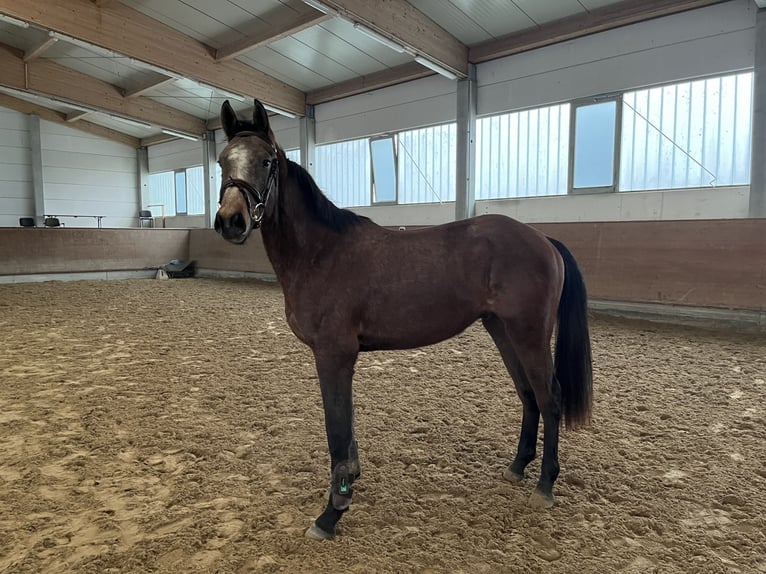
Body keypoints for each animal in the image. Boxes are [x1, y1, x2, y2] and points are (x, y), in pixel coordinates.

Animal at [214, 99, 593, 540]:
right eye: (222, 161)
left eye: (266, 161)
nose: (231, 221)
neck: (321, 253)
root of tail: (543, 240)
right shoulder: (342, 358)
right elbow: (347, 427)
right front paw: (349, 481)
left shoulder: (333, 355)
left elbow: (336, 430)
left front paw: (331, 513)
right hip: (502, 330)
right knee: (527, 393)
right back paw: (518, 467)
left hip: (529, 333)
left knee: (550, 397)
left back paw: (545, 485)